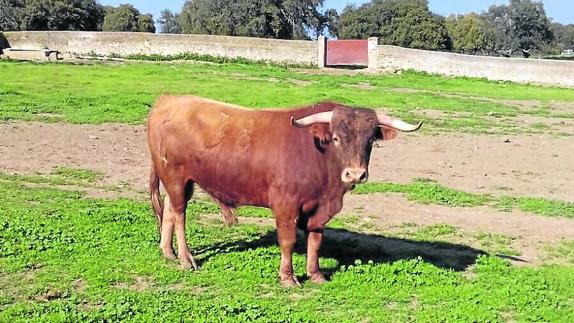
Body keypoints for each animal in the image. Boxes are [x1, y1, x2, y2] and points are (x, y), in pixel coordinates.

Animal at [146, 95, 420, 288]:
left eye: (370, 140)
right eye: (336, 138)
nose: (355, 174)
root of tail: (168, 100)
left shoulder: (319, 210)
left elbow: (315, 241)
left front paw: (315, 274)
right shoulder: (286, 206)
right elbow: (288, 240)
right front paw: (288, 277)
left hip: (182, 182)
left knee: (169, 211)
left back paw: (168, 253)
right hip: (176, 178)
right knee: (179, 215)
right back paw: (186, 259)